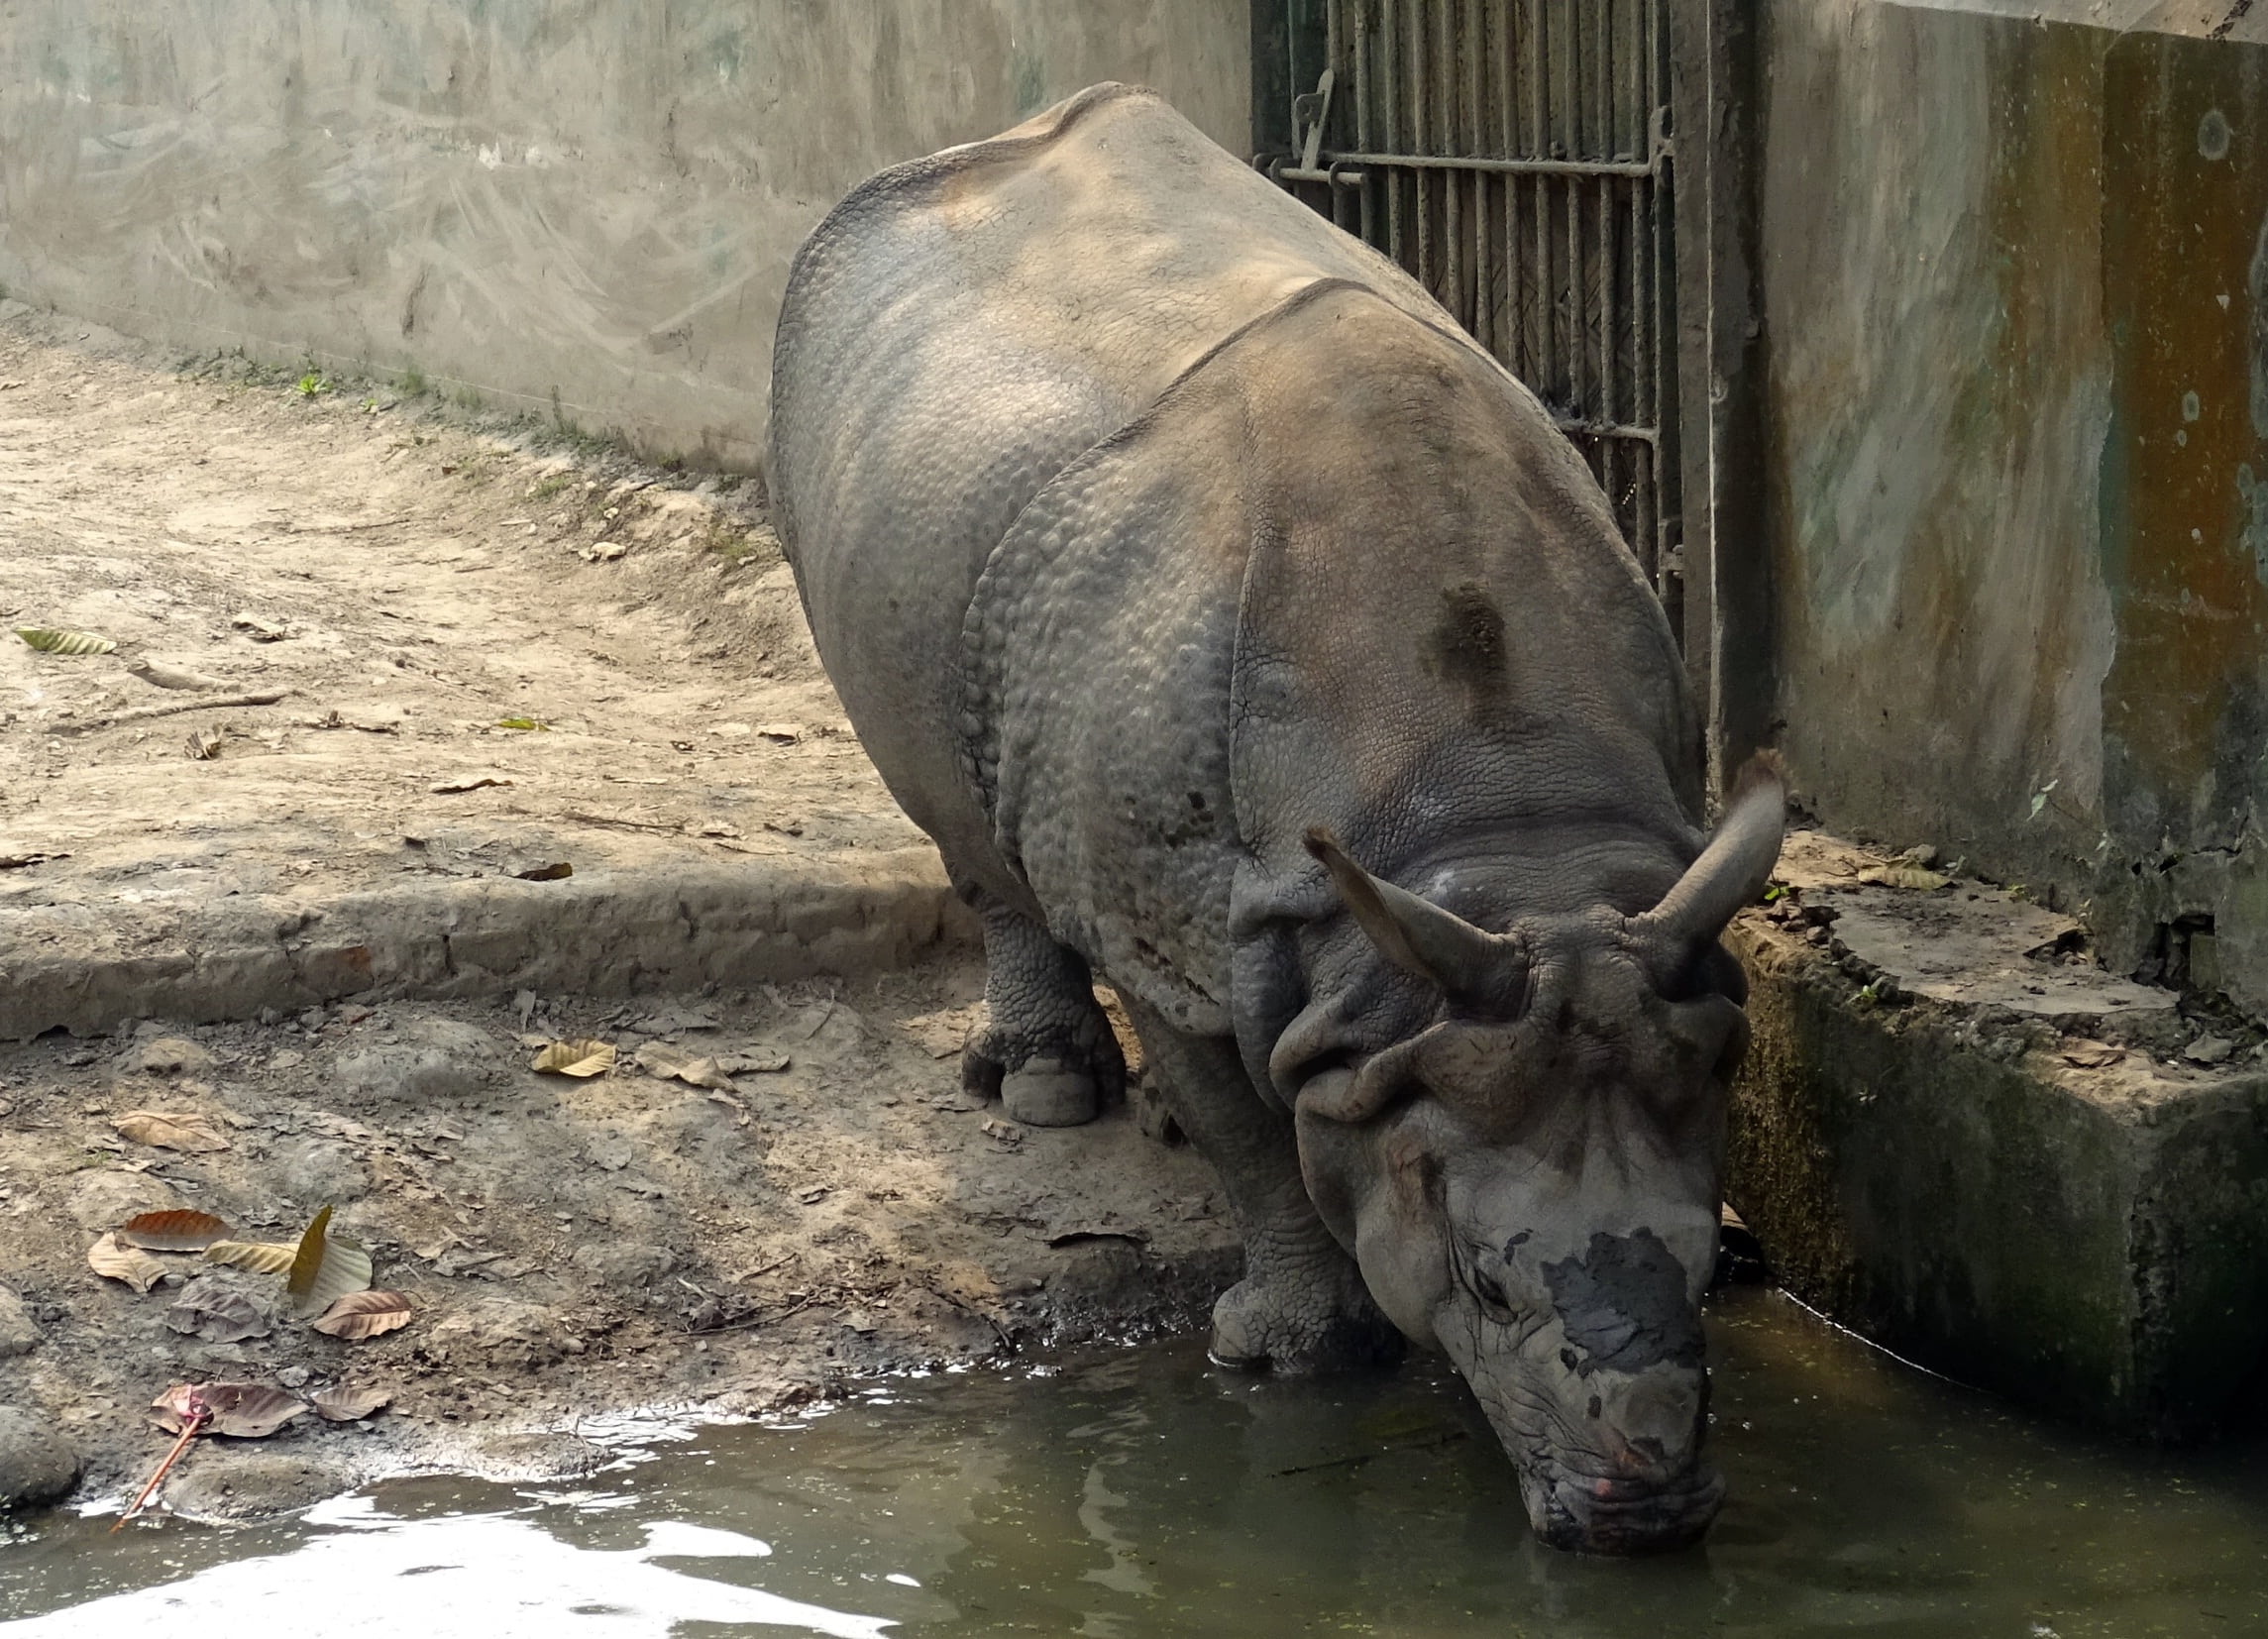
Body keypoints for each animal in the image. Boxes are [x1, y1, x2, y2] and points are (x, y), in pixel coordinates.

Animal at [769, 84, 1783, 1555]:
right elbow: (1250, 1132)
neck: (1495, 844)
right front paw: (1292, 1351)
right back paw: (1048, 1094)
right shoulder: (1167, 926)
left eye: (1711, 1274)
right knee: (971, 830)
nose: (1645, 1514)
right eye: (1483, 1287)